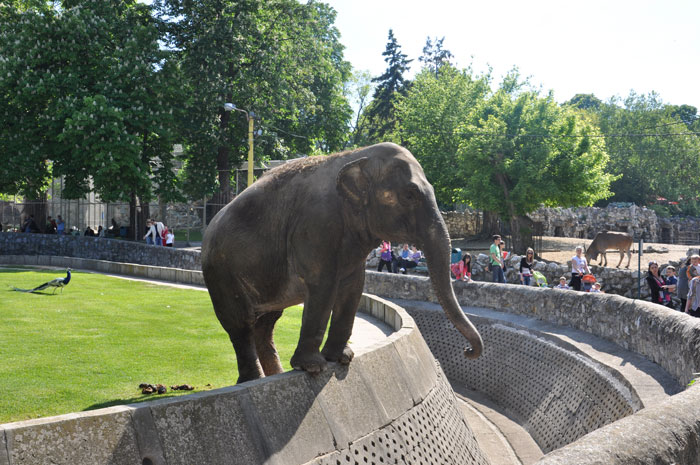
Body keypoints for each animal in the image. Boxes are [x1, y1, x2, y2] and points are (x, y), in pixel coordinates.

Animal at [201, 143, 482, 382]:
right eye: (410, 194)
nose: (467, 351)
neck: (357, 155)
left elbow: (353, 287)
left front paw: (342, 359)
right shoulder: (316, 225)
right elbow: (323, 286)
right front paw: (313, 367)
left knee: (266, 324)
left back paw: (273, 374)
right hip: (220, 272)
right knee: (241, 324)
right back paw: (253, 380)